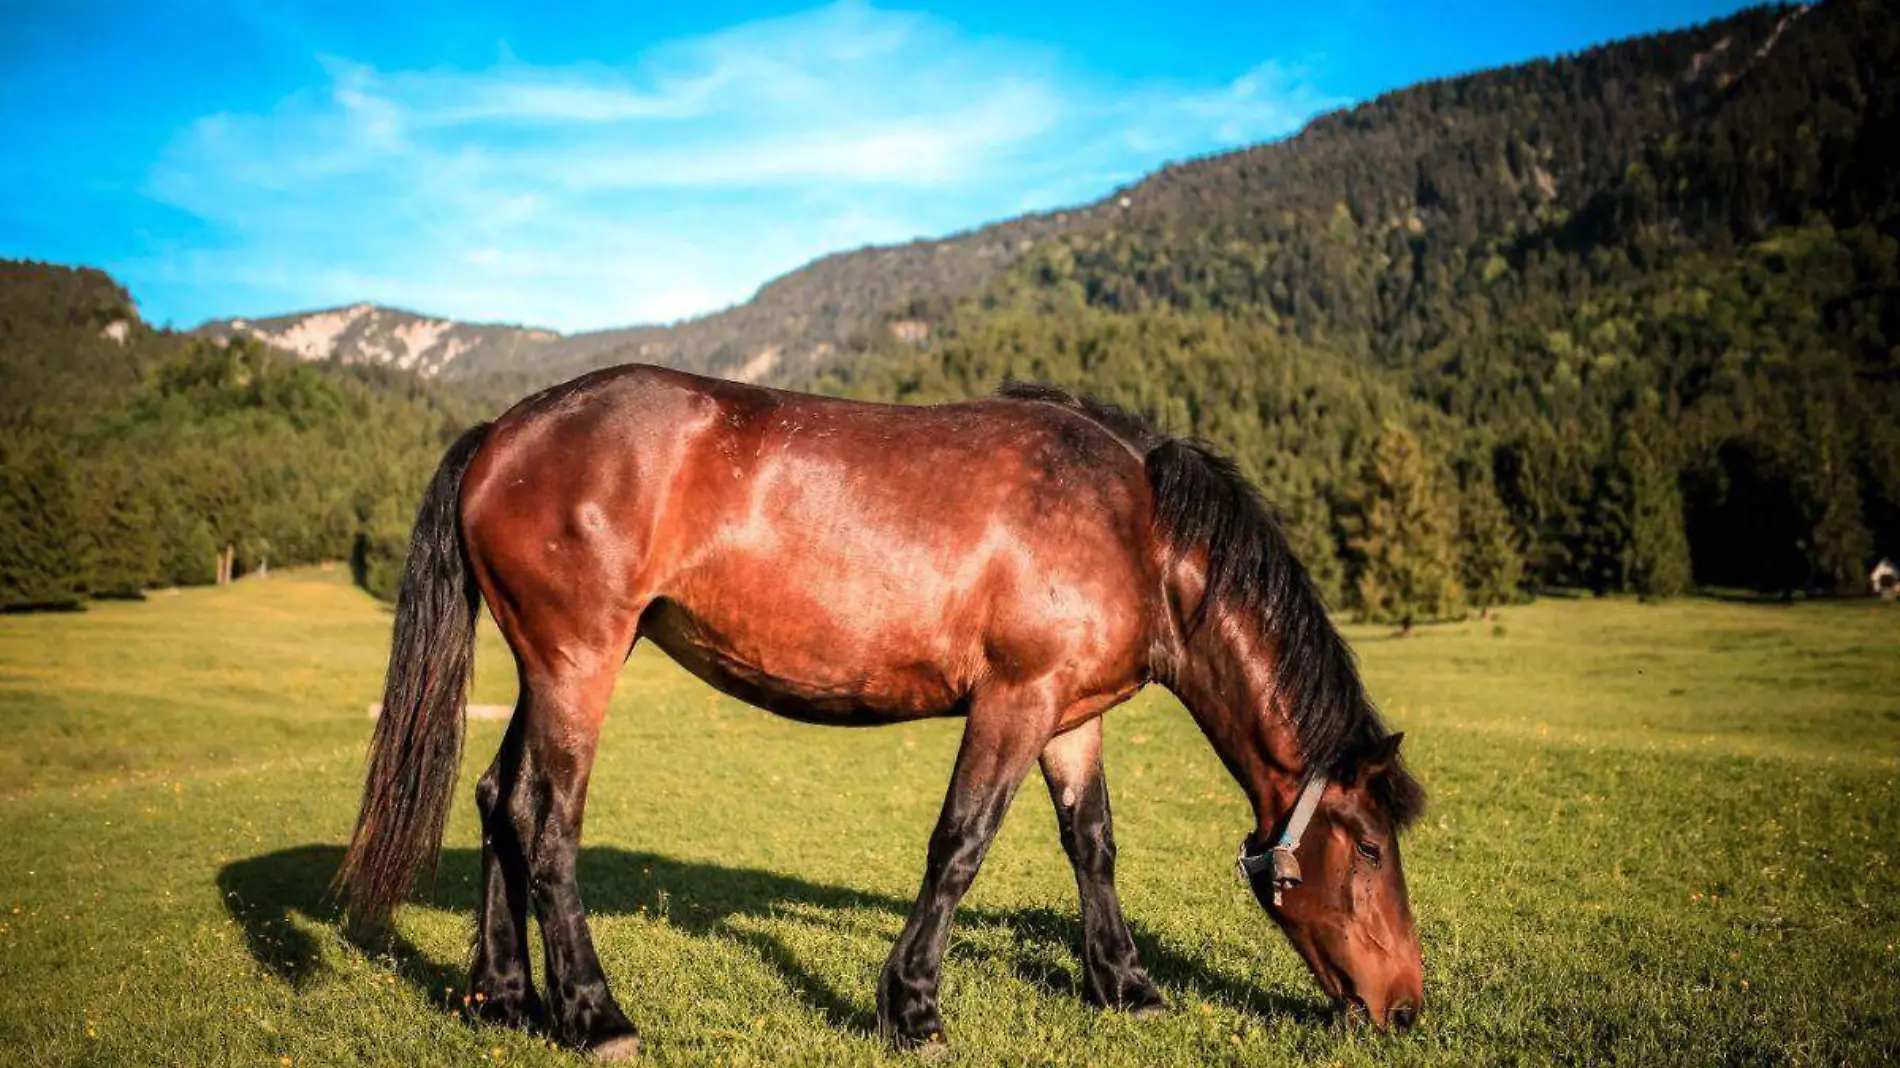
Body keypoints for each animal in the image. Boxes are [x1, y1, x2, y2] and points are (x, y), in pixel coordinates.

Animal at [338, 362, 1428, 1056]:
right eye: (1372, 848)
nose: (1406, 1007)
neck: (1137, 526)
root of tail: (504, 432)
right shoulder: (1014, 701)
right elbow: (960, 844)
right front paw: (912, 1009)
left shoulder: (1073, 716)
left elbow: (1094, 844)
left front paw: (1125, 986)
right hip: (578, 663)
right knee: (548, 823)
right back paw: (595, 1015)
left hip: (548, 667)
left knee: (497, 801)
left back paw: (505, 996)